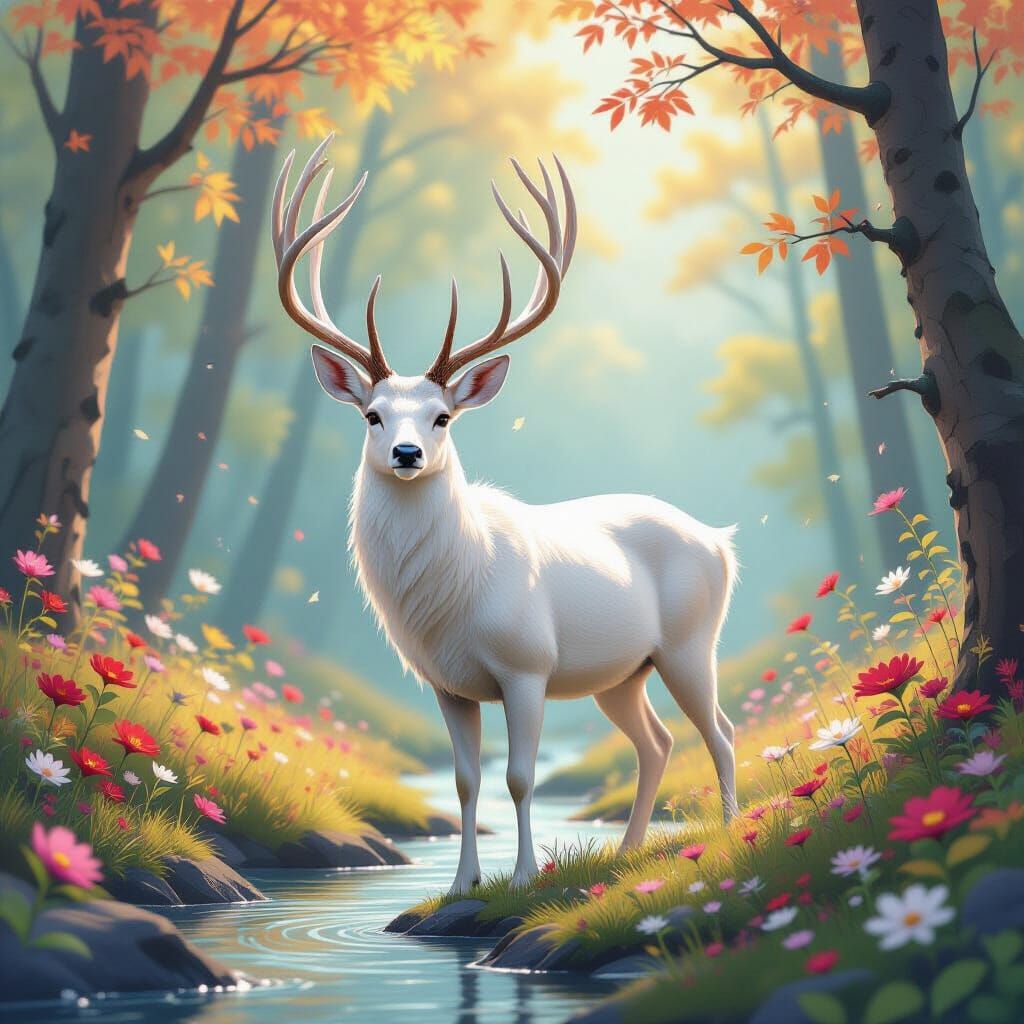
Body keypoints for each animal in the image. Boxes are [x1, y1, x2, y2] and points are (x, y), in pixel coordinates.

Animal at [272, 136, 739, 895]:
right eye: (372, 415)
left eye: (442, 416)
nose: (406, 452)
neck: (454, 598)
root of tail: (721, 542)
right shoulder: (446, 684)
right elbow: (467, 781)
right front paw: (462, 883)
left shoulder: (528, 666)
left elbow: (520, 777)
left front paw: (521, 878)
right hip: (623, 672)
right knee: (657, 741)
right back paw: (627, 850)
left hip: (690, 643)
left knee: (718, 732)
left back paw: (726, 832)